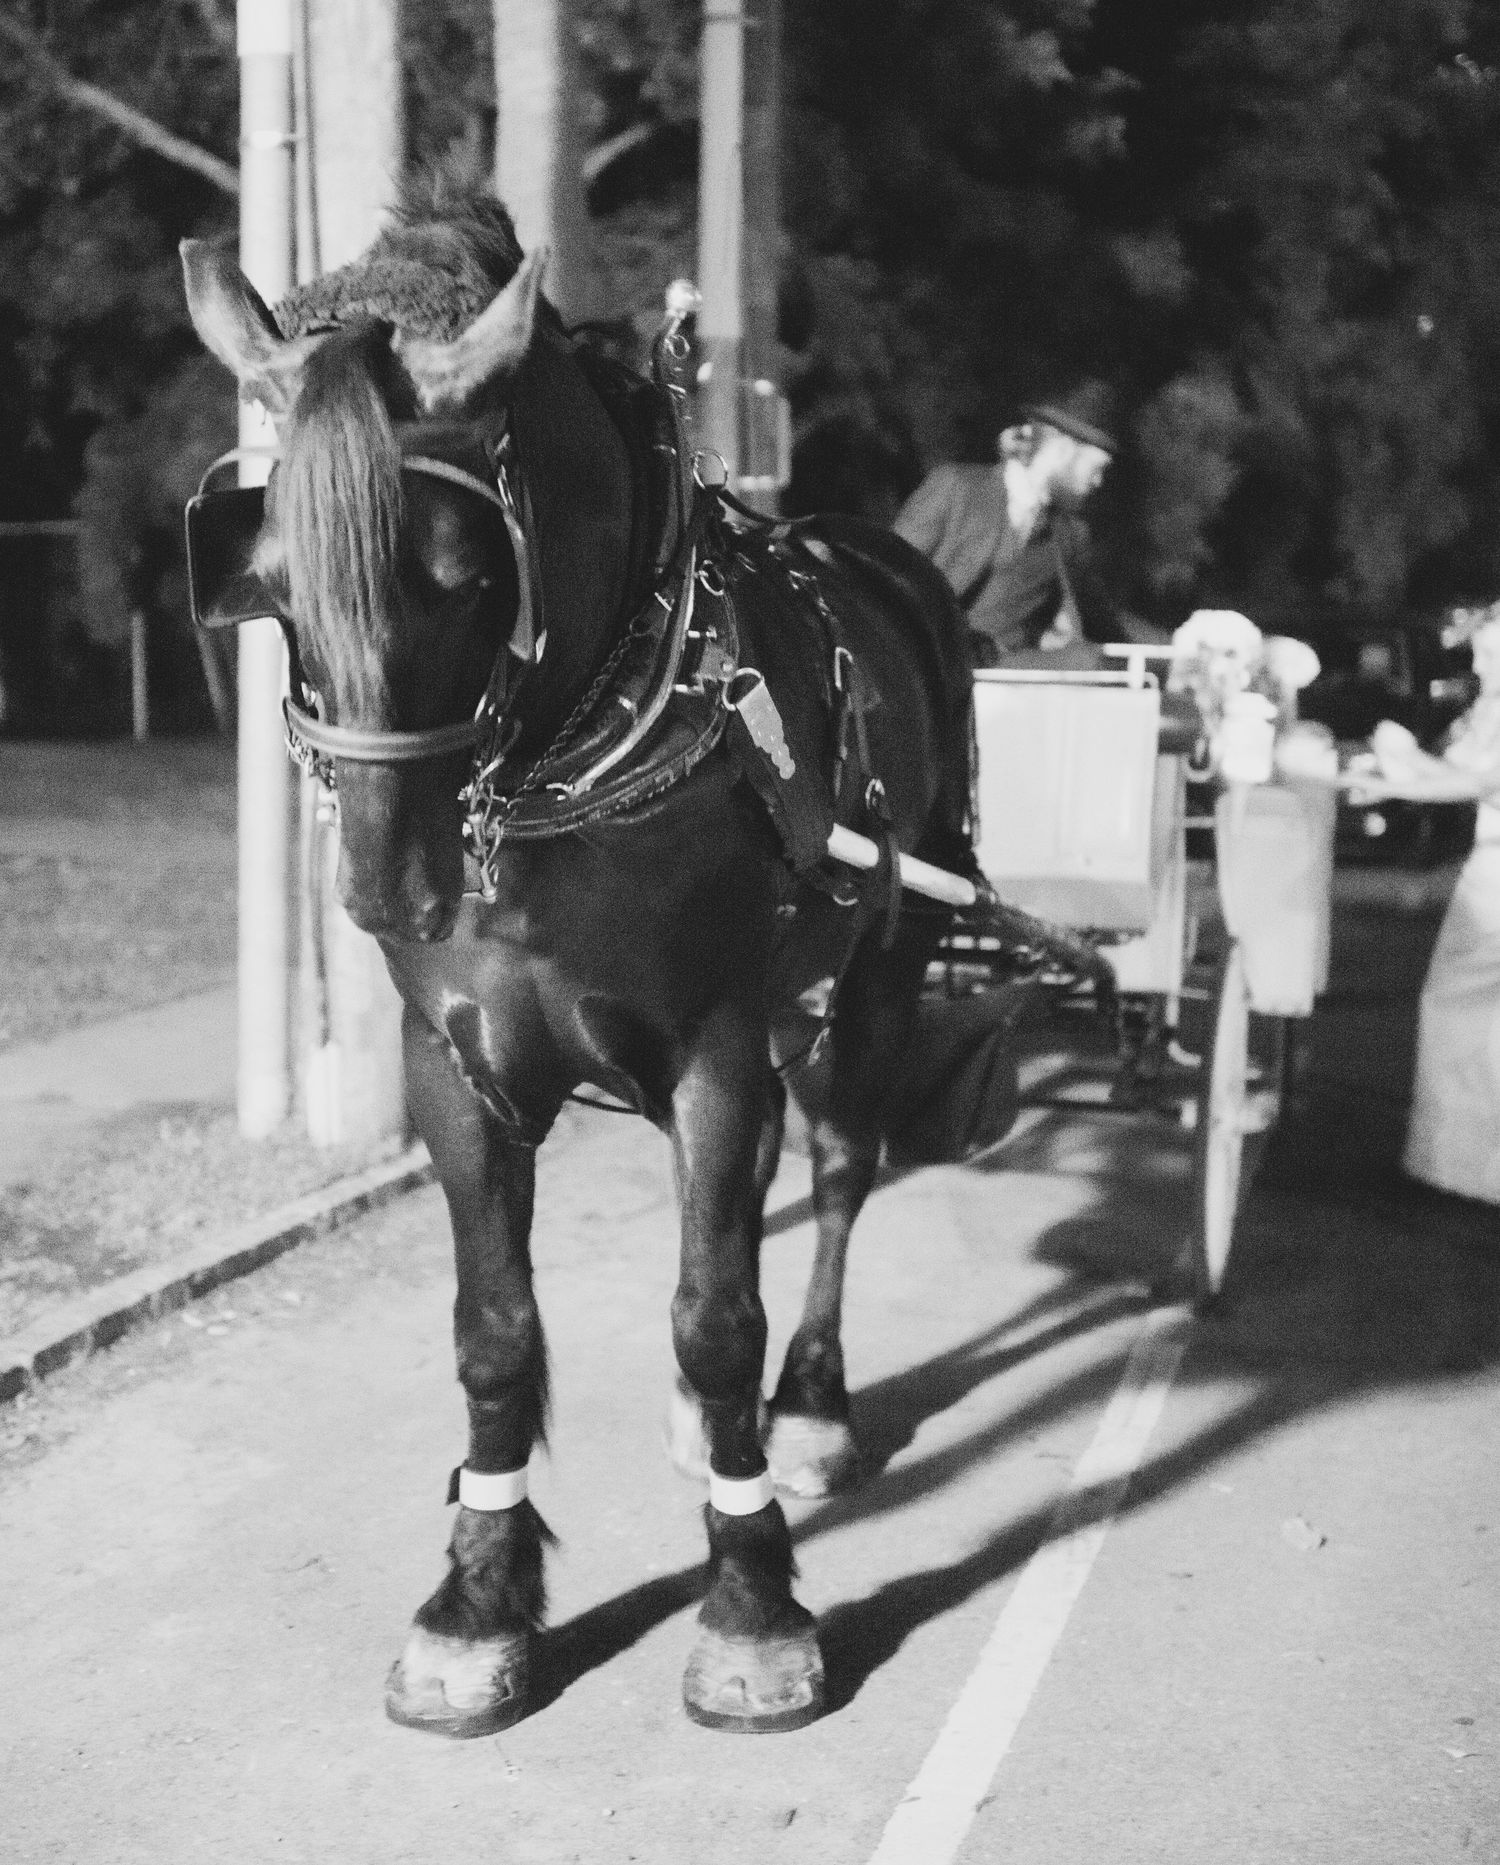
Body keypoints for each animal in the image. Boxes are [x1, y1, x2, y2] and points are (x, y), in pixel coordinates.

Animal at [179, 185, 981, 1738]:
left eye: (460, 575)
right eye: (272, 585)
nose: (388, 893)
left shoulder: (717, 1044)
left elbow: (716, 1316)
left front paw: (751, 1602)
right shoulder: (456, 1067)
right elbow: (495, 1330)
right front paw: (478, 1598)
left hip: (882, 960)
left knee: (840, 1169)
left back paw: (808, 1406)